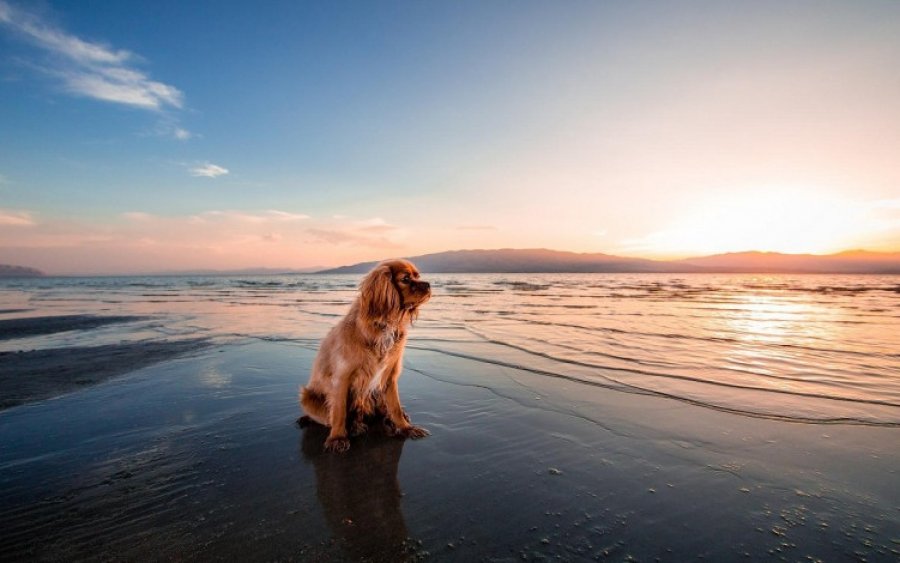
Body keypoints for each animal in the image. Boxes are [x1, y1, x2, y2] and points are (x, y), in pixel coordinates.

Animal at [298, 260, 432, 454]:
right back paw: (353, 426)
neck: (384, 324)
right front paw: (337, 437)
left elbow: (395, 407)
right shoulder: (342, 378)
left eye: (417, 277)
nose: (428, 285)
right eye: (406, 279)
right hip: (307, 397)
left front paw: (406, 428)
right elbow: (339, 411)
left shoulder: (389, 377)